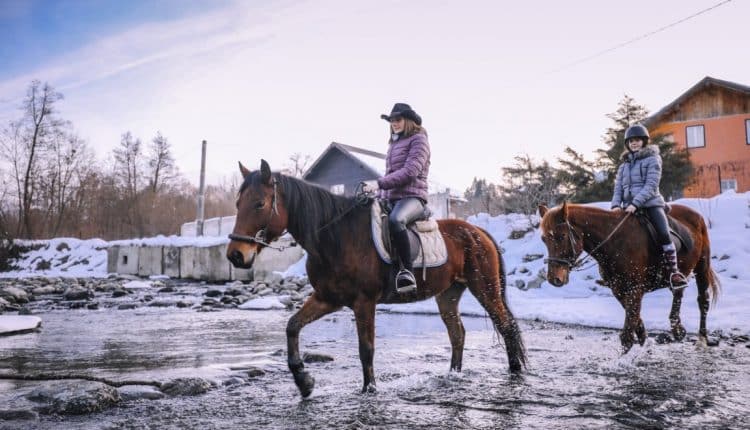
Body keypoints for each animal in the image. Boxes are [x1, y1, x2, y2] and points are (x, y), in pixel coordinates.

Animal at [226, 162, 524, 400]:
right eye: (238, 204)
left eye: (260, 204)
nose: (235, 255)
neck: (335, 237)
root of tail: (477, 231)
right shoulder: (328, 299)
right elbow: (292, 326)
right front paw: (304, 382)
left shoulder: (364, 302)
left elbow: (366, 349)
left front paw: (369, 390)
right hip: (448, 294)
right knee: (457, 333)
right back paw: (453, 375)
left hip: (484, 289)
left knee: (506, 326)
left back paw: (516, 373)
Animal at [540, 202, 724, 352]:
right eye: (544, 239)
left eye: (561, 236)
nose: (554, 279)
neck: (614, 241)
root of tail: (696, 215)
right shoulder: (619, 290)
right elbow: (636, 322)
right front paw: (643, 343)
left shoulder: (635, 290)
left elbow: (628, 334)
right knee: (678, 292)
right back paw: (677, 329)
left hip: (702, 266)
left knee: (703, 301)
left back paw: (702, 339)